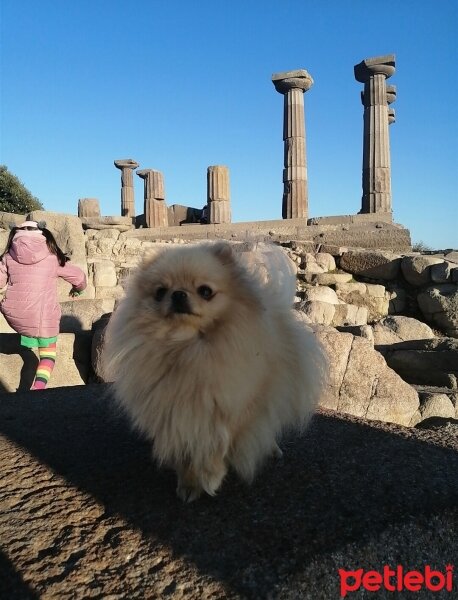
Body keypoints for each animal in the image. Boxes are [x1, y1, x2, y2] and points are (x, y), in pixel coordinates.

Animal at [102, 240, 328, 502]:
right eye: (160, 292)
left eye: (205, 291)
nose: (178, 294)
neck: (187, 348)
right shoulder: (176, 415)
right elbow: (187, 451)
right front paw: (189, 484)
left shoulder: (234, 407)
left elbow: (221, 444)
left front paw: (211, 475)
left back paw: (271, 449)